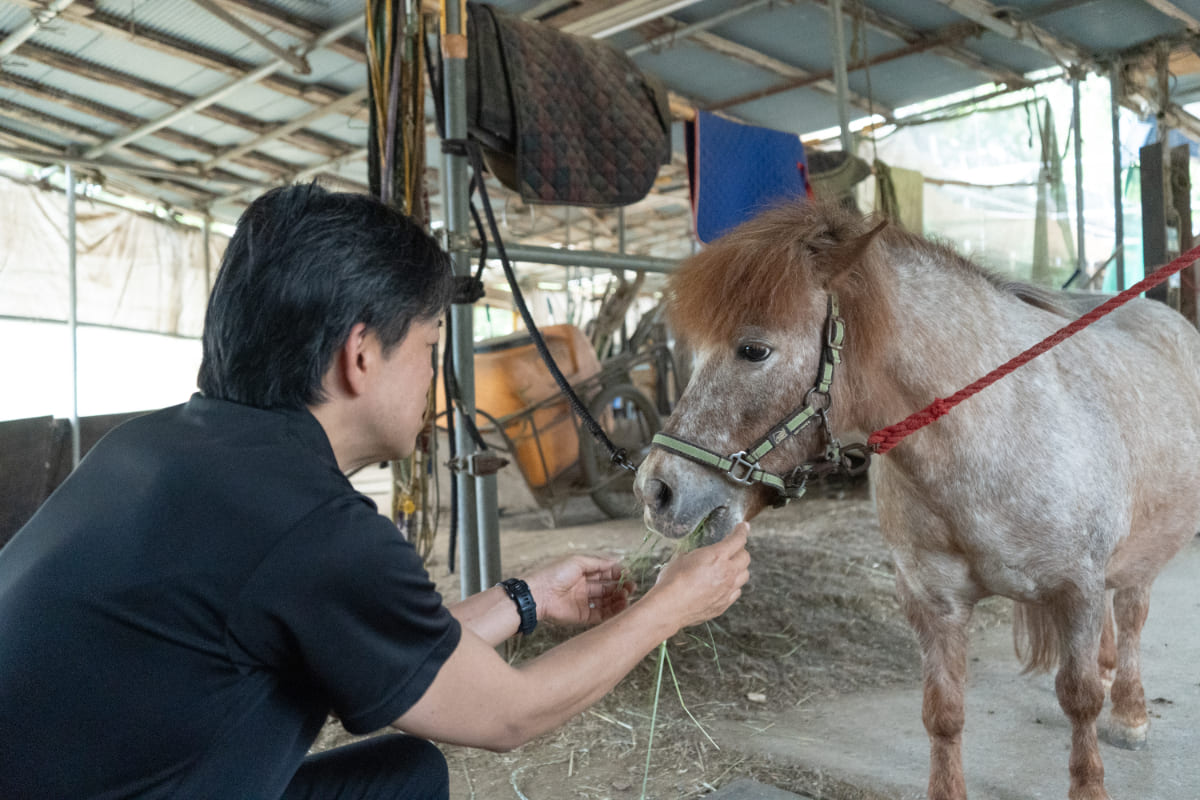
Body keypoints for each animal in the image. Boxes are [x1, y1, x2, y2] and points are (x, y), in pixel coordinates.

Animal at [633, 199, 1200, 800]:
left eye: (754, 350)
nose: (655, 489)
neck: (995, 436)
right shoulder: (934, 602)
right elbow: (943, 714)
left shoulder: (1078, 590)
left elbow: (1080, 700)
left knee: (1132, 614)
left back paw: (1131, 713)